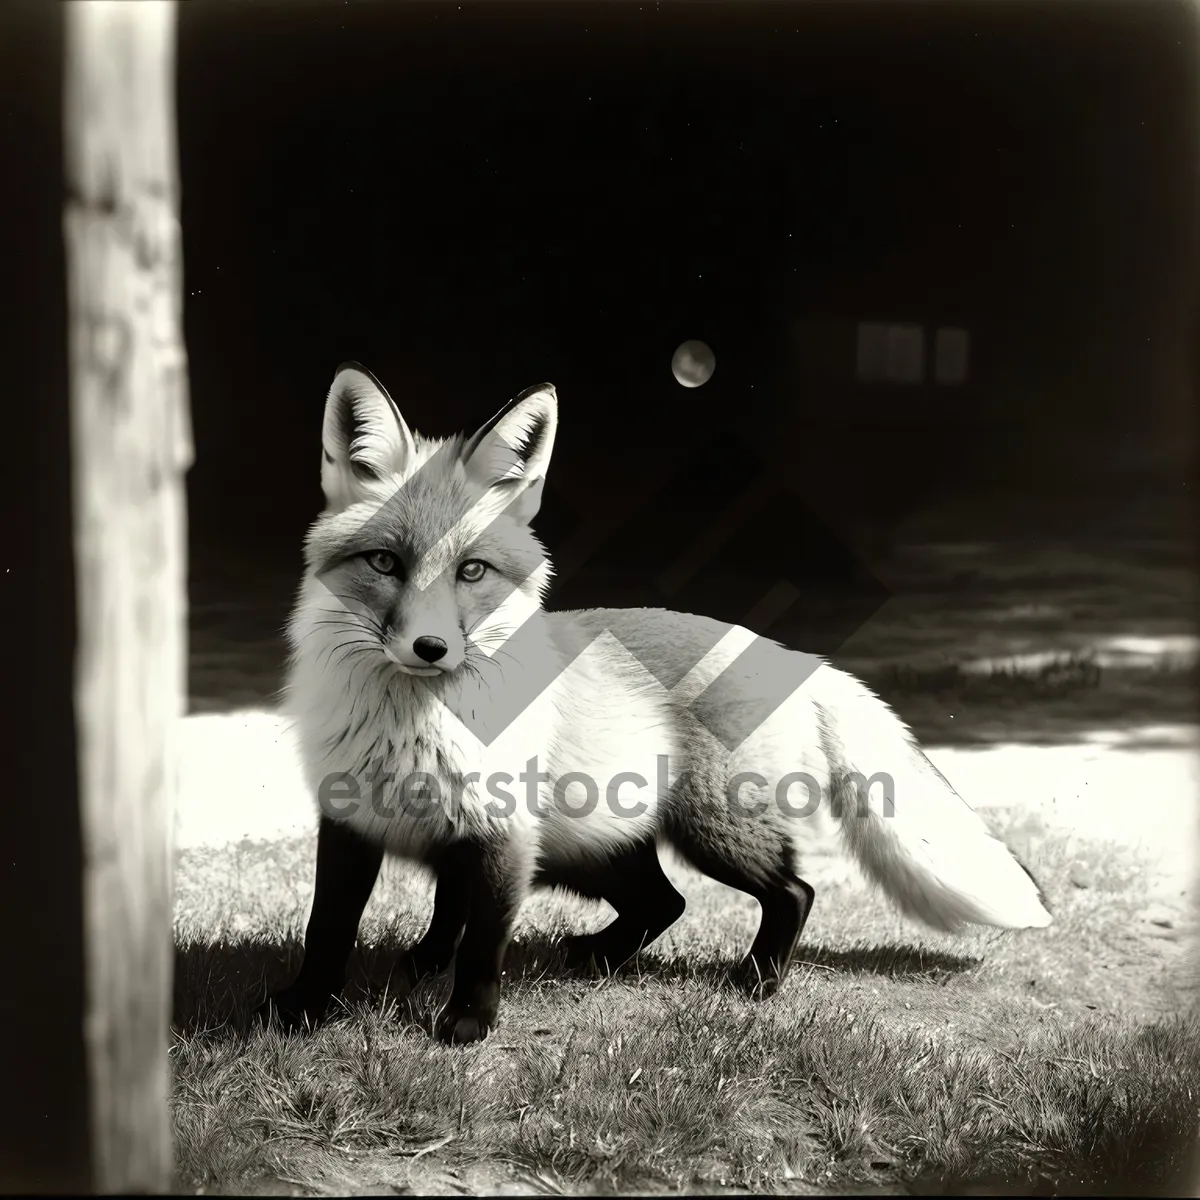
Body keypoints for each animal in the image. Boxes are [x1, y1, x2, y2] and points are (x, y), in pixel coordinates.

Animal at [255, 360, 1051, 1046]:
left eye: (472, 571)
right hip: (595, 847)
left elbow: (482, 940)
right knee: (665, 902)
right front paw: (308, 1008)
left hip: (709, 833)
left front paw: (467, 1024)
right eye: (384, 562)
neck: (413, 731)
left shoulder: (503, 835)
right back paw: (598, 958)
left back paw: (757, 981)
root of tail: (798, 655)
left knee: (790, 891)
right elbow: (335, 927)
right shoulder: (357, 821)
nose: (430, 648)